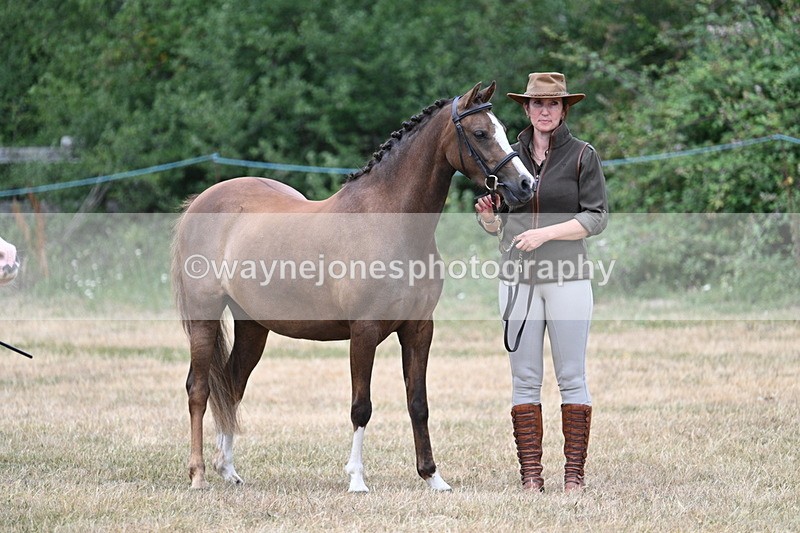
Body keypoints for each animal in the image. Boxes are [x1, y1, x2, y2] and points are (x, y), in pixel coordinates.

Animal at [171, 81, 535, 492]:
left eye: (504, 129)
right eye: (480, 133)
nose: (525, 185)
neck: (390, 221)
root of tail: (199, 202)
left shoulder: (419, 329)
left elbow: (418, 403)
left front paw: (432, 477)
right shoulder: (364, 330)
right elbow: (362, 406)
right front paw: (357, 479)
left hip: (253, 326)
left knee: (232, 386)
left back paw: (229, 469)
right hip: (204, 317)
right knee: (199, 390)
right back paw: (198, 474)